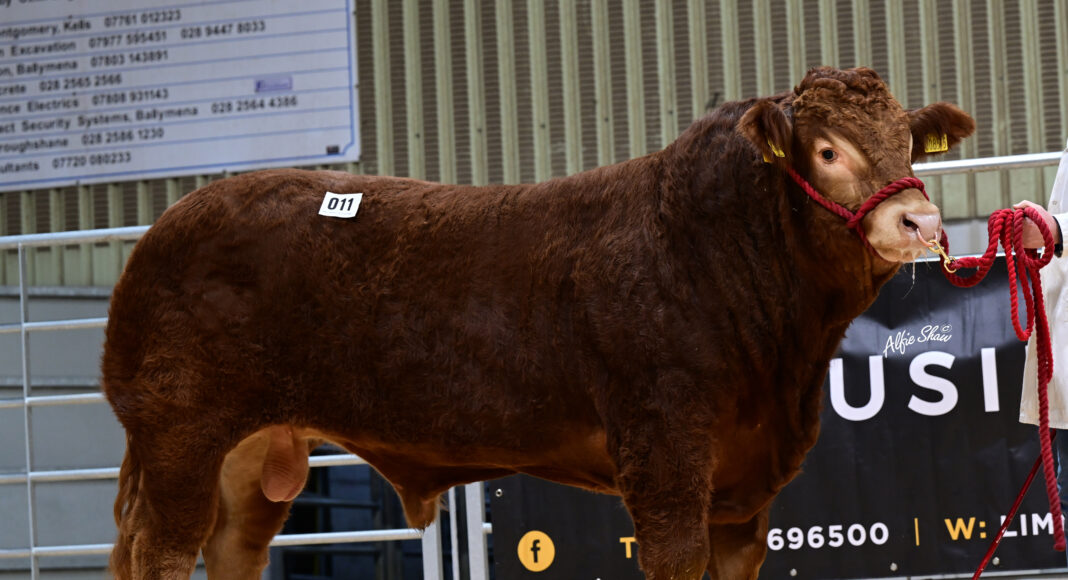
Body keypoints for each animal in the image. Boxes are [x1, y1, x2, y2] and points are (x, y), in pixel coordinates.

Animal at [102, 66, 975, 579]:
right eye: (826, 151)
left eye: (908, 143)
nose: (922, 222)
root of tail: (169, 224)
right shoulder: (664, 459)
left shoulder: (743, 494)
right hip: (180, 434)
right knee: (162, 550)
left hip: (251, 457)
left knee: (231, 549)